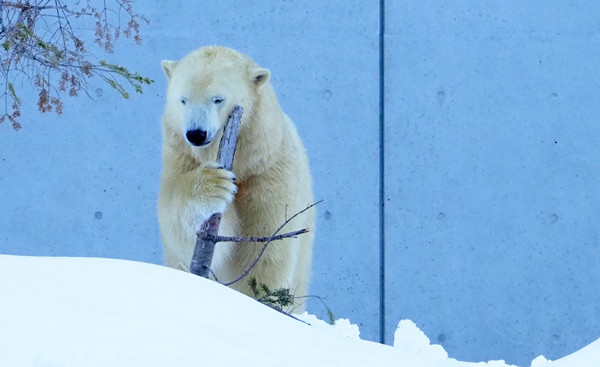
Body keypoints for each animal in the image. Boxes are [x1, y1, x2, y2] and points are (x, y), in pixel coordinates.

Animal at [157, 45, 314, 310]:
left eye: (217, 98)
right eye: (183, 99)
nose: (196, 134)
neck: (243, 163)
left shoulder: (268, 173)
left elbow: (264, 248)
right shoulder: (181, 158)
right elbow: (185, 232)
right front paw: (213, 185)